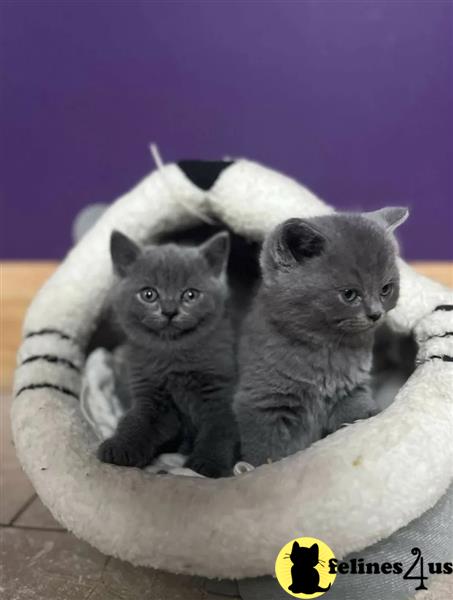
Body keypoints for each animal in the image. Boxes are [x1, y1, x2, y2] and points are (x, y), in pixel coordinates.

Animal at [98, 230, 238, 478]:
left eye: (190, 295)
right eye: (149, 294)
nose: (170, 311)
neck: (173, 355)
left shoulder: (219, 392)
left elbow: (218, 428)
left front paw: (208, 464)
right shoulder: (150, 393)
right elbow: (136, 421)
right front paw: (120, 447)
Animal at [233, 206, 406, 464]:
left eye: (386, 289)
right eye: (349, 294)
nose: (375, 314)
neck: (327, 350)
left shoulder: (352, 391)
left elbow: (356, 416)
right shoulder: (261, 403)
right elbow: (265, 451)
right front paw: (261, 468)